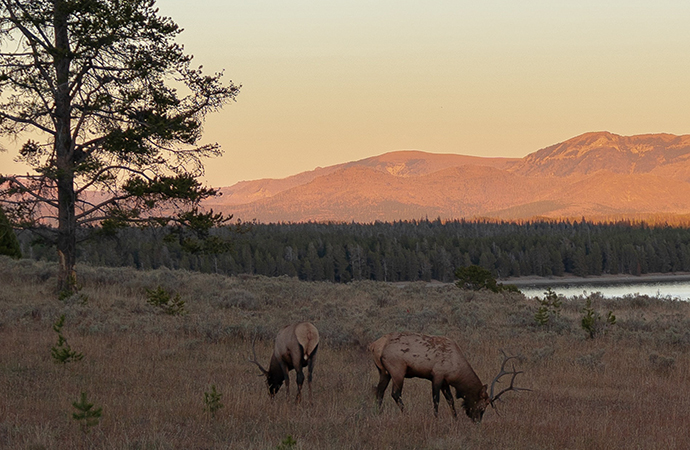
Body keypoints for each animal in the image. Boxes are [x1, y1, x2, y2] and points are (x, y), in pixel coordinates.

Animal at [370, 330, 528, 422]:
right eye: (482, 407)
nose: (477, 421)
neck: (456, 371)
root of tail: (375, 345)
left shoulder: (446, 381)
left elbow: (450, 400)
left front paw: (456, 418)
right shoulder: (437, 375)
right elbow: (436, 399)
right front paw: (436, 418)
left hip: (383, 371)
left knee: (379, 391)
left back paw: (378, 413)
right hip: (398, 370)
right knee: (395, 393)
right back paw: (406, 414)